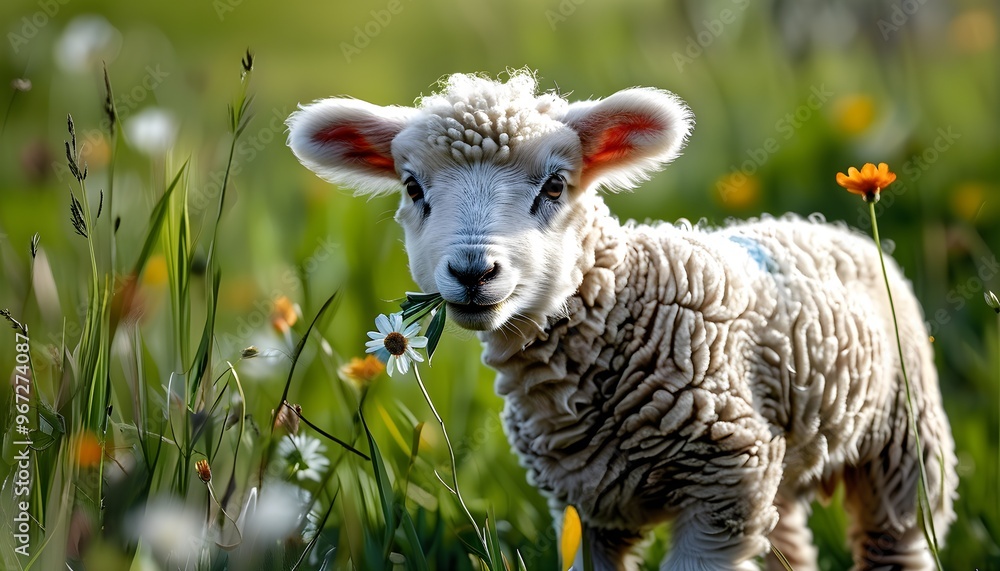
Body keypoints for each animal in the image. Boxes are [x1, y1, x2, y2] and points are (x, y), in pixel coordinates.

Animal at [286, 73, 956, 568]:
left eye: (555, 186)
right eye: (413, 188)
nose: (474, 271)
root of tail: (825, 223)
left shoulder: (723, 484)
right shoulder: (585, 509)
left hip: (905, 439)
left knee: (895, 539)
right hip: (782, 456)